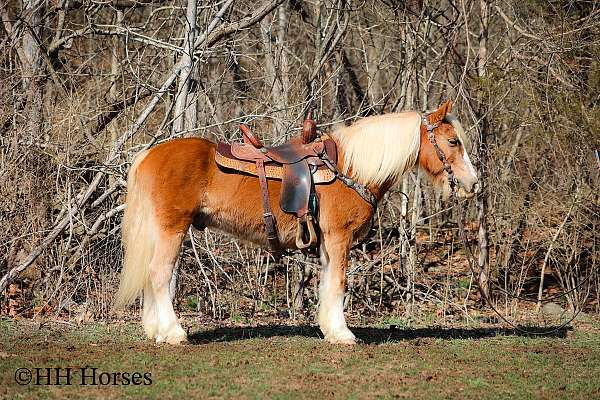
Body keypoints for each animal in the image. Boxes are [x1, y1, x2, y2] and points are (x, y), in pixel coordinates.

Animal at [113, 99, 478, 344]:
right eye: (453, 141)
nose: (473, 183)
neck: (350, 168)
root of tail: (149, 154)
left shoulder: (329, 243)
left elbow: (327, 284)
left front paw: (330, 328)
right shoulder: (339, 238)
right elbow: (339, 283)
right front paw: (343, 333)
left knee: (152, 274)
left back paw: (155, 330)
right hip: (171, 228)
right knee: (159, 274)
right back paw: (173, 332)